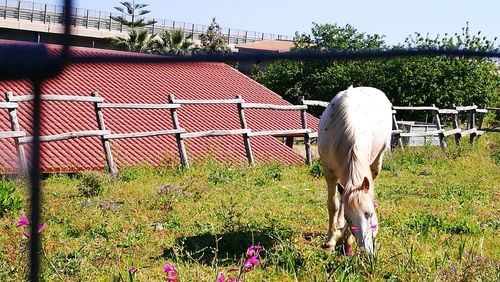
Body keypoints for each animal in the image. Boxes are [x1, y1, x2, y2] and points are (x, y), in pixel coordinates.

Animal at [318, 85, 392, 253]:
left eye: (369, 214)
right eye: (349, 218)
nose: (366, 251)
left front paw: (347, 240)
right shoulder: (329, 173)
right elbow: (333, 205)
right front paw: (330, 240)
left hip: (376, 163)